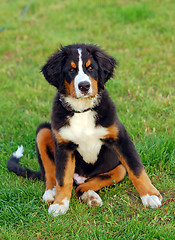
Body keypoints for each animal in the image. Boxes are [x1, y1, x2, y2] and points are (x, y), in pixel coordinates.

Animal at [7, 44, 163, 217]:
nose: (84, 86)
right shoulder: (64, 146)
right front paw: (60, 204)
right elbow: (63, 178)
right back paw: (52, 193)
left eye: (91, 68)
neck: (82, 110)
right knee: (51, 174)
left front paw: (150, 195)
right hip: (43, 130)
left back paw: (90, 196)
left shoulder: (121, 138)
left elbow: (136, 169)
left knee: (85, 185)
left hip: (119, 169)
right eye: (71, 70)